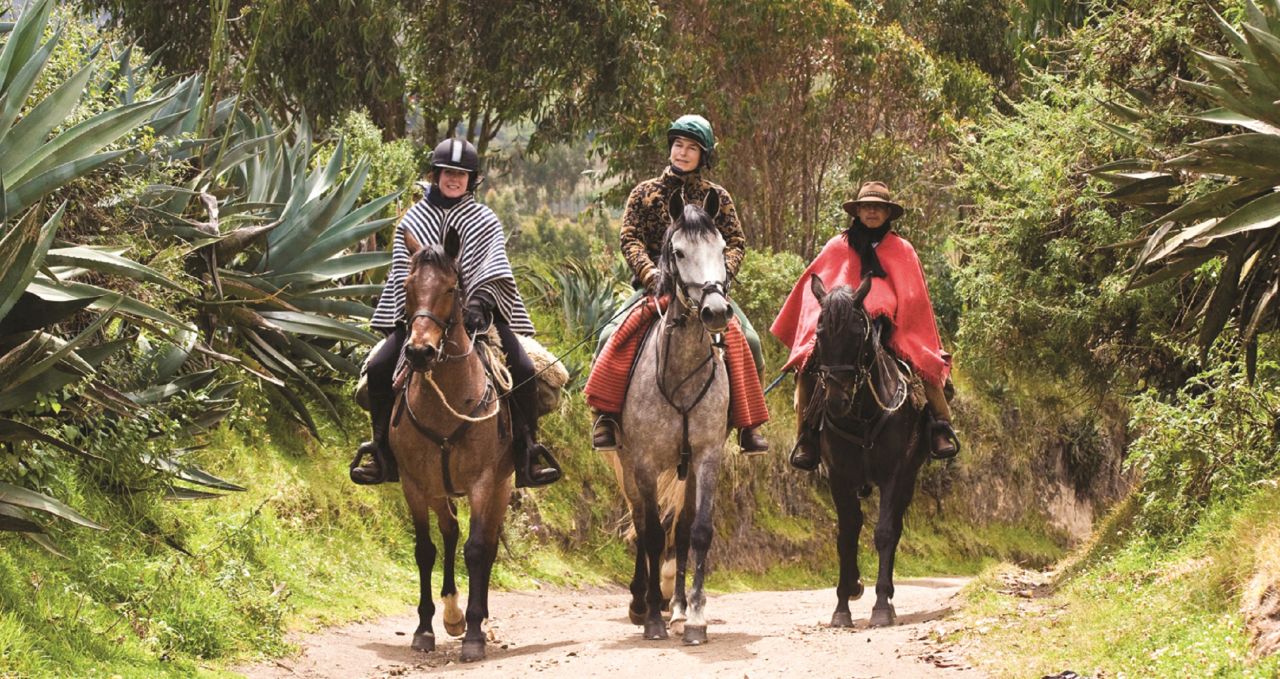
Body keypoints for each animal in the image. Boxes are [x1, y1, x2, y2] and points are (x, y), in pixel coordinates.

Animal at [389, 224, 509, 655]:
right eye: (406, 286)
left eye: (451, 287)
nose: (419, 352)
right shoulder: (414, 483)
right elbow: (425, 550)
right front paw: (425, 628)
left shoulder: (482, 481)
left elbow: (476, 550)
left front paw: (473, 633)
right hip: (441, 489)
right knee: (451, 531)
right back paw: (452, 613)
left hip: (503, 485)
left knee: (487, 545)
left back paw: (477, 619)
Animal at [611, 192, 732, 645]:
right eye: (678, 252)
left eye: (722, 249)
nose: (716, 311)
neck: (680, 371)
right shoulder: (644, 462)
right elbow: (649, 534)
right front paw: (651, 617)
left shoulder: (707, 456)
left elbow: (696, 532)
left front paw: (694, 616)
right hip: (625, 464)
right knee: (642, 523)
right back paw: (641, 601)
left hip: (686, 468)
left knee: (677, 532)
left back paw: (676, 605)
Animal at [803, 271, 926, 625]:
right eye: (819, 332)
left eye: (857, 334)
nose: (836, 401)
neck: (862, 416)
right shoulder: (839, 477)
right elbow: (846, 535)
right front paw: (842, 604)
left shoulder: (895, 475)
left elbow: (884, 532)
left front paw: (882, 605)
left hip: (909, 477)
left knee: (895, 528)